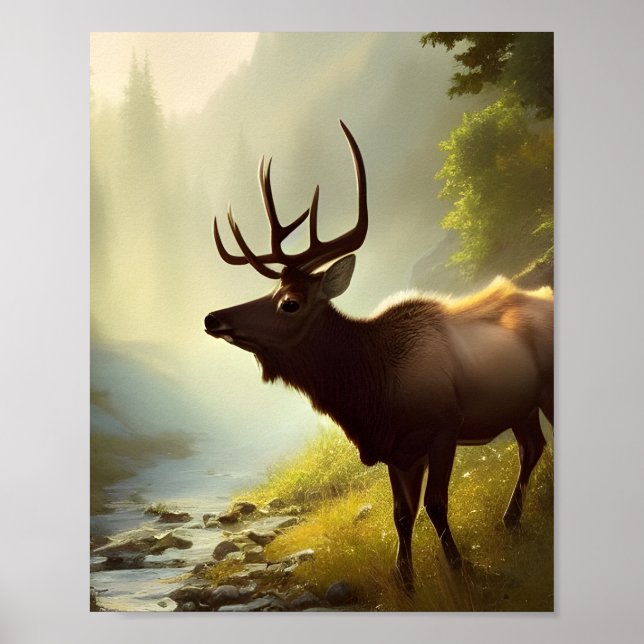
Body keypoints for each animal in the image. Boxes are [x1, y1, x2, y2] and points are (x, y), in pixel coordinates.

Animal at [204, 121, 554, 593]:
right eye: (272, 291)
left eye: (290, 303)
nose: (213, 318)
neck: (372, 394)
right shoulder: (396, 449)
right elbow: (401, 515)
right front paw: (405, 580)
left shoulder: (443, 426)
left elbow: (436, 505)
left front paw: (459, 568)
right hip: (520, 404)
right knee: (532, 446)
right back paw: (511, 520)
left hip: (546, 391)